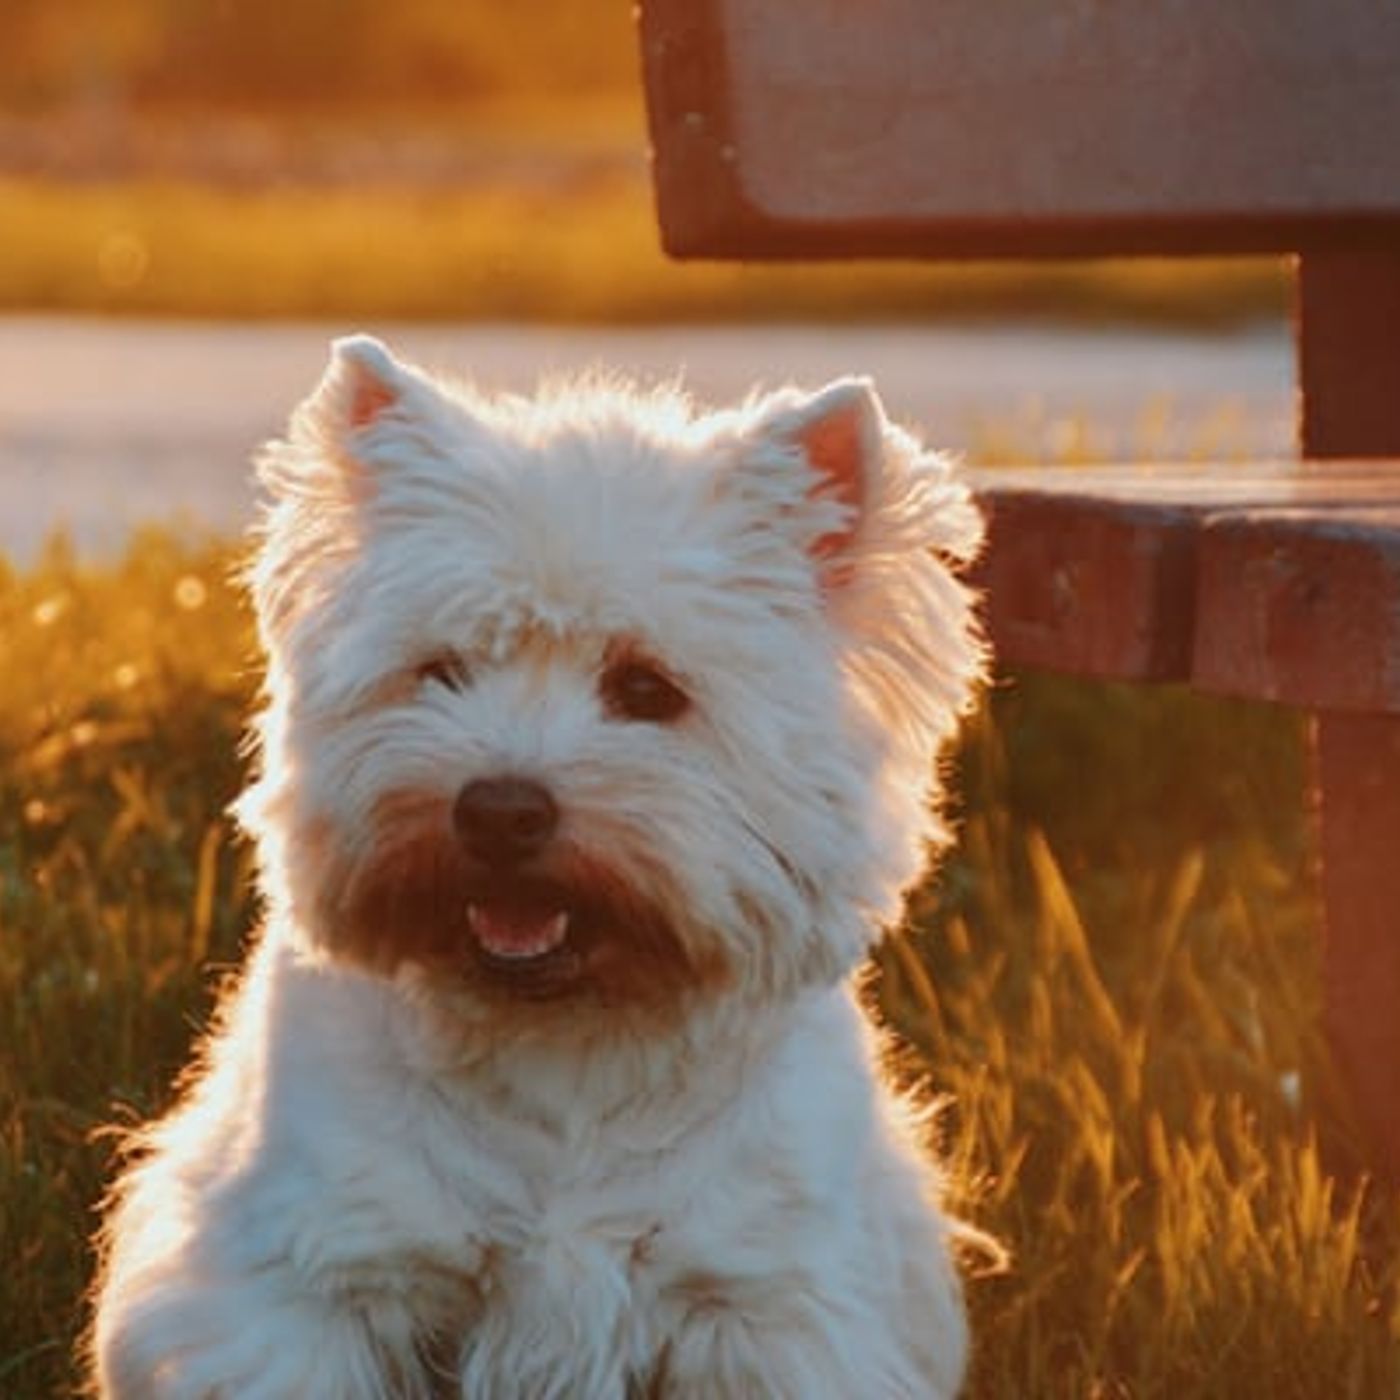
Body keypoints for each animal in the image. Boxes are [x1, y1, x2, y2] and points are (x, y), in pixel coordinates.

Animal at [90, 333, 985, 1394]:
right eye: (441, 670)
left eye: (648, 688)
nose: (500, 810)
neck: (566, 1050)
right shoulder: (312, 1282)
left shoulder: (765, 1303)